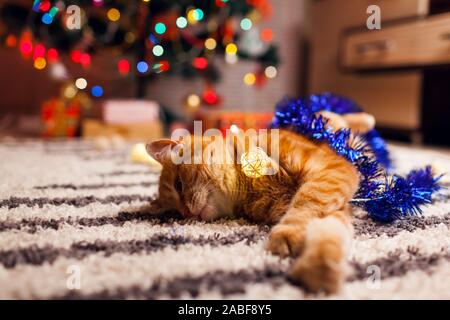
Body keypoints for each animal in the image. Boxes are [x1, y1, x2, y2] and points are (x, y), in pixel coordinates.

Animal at [147, 112, 372, 292]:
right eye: (175, 211)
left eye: (178, 185)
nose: (186, 212)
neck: (249, 185)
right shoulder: (334, 206)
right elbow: (327, 237)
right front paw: (318, 270)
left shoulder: (329, 174)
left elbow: (305, 204)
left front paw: (287, 236)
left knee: (337, 118)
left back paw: (364, 120)